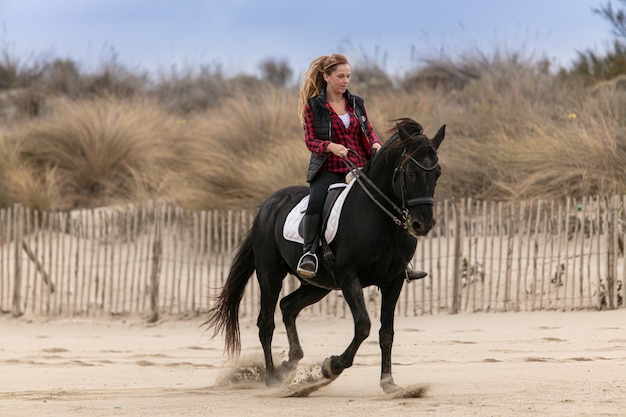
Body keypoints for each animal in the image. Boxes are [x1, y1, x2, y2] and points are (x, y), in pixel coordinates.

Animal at [205, 117, 444, 394]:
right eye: (410, 173)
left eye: (437, 174)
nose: (422, 225)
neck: (380, 219)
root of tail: (268, 205)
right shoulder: (349, 278)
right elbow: (363, 325)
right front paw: (332, 366)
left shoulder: (393, 281)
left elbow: (387, 332)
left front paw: (389, 383)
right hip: (270, 276)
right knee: (266, 323)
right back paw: (272, 378)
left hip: (318, 285)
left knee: (288, 307)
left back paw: (289, 365)